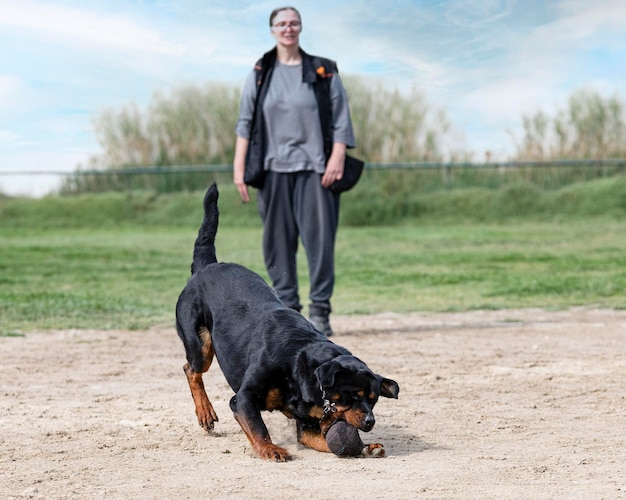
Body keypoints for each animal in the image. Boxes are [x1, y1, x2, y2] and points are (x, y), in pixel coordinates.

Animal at [174, 185, 400, 460]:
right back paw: (205, 412)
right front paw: (270, 448)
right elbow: (257, 426)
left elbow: (327, 440)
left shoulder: (308, 423)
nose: (370, 421)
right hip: (200, 345)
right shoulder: (243, 399)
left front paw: (366, 447)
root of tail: (206, 266)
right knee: (191, 369)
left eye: (374, 399)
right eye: (352, 395)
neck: (300, 366)